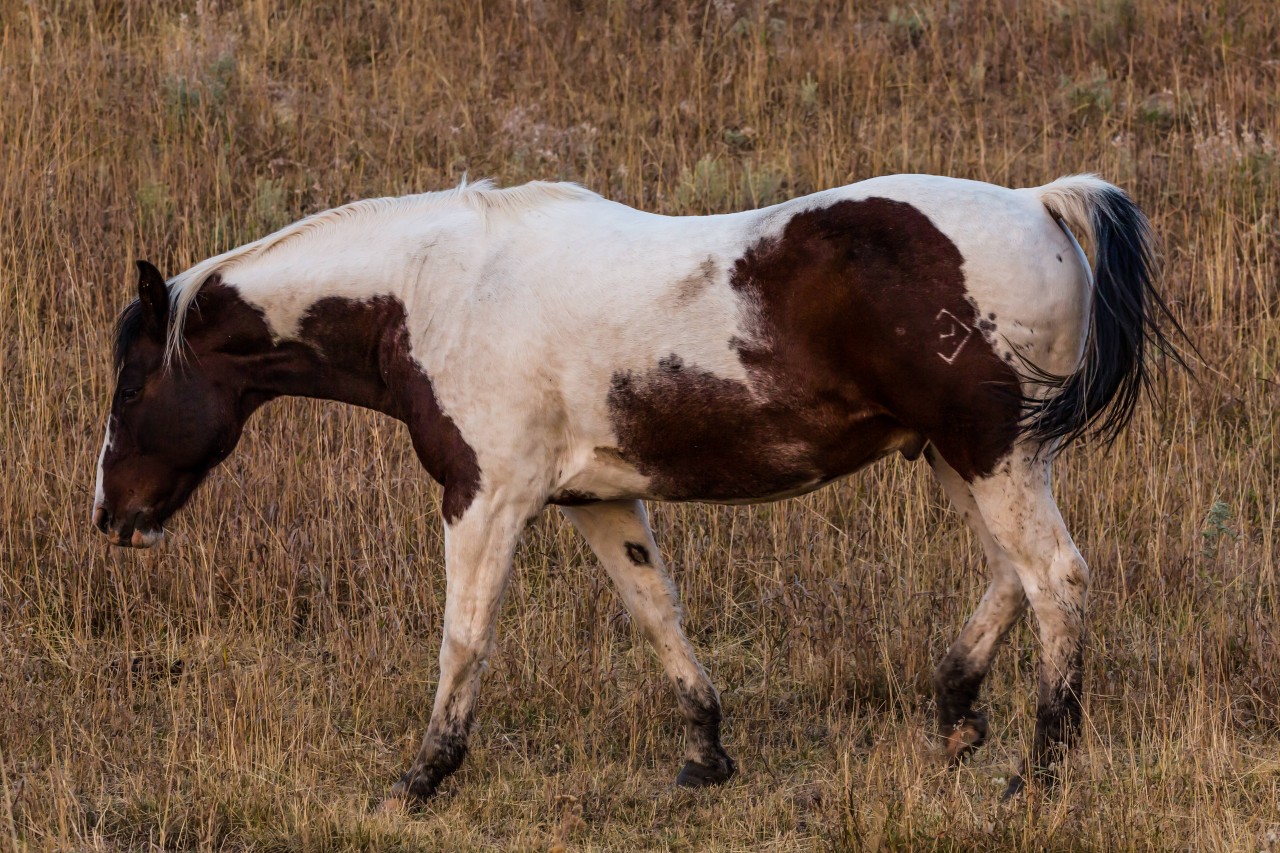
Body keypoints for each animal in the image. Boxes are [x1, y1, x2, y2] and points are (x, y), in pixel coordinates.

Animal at [94, 171, 1182, 799]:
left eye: (132, 382)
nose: (111, 516)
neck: (436, 290)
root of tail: (1041, 200)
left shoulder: (485, 499)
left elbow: (464, 633)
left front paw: (423, 774)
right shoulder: (599, 501)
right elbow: (656, 613)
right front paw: (705, 754)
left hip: (991, 456)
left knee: (1057, 579)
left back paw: (1040, 769)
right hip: (973, 459)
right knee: (1015, 576)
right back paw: (956, 714)